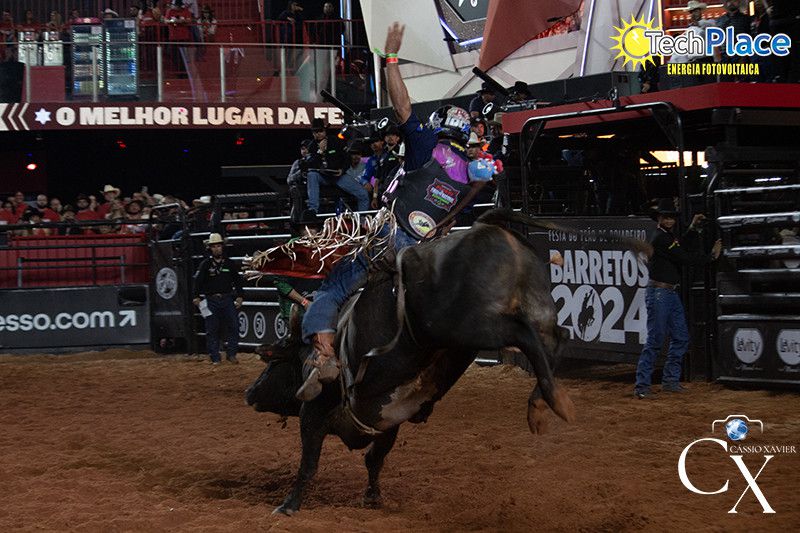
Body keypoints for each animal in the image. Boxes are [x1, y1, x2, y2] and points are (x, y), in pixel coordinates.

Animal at [245, 209, 649, 515]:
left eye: (272, 365)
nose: (250, 392)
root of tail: (486, 226)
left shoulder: (314, 414)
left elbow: (309, 463)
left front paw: (289, 505)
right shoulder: (386, 420)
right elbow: (374, 459)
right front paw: (373, 497)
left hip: (470, 327)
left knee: (526, 338)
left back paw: (553, 399)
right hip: (536, 304)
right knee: (557, 338)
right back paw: (540, 403)